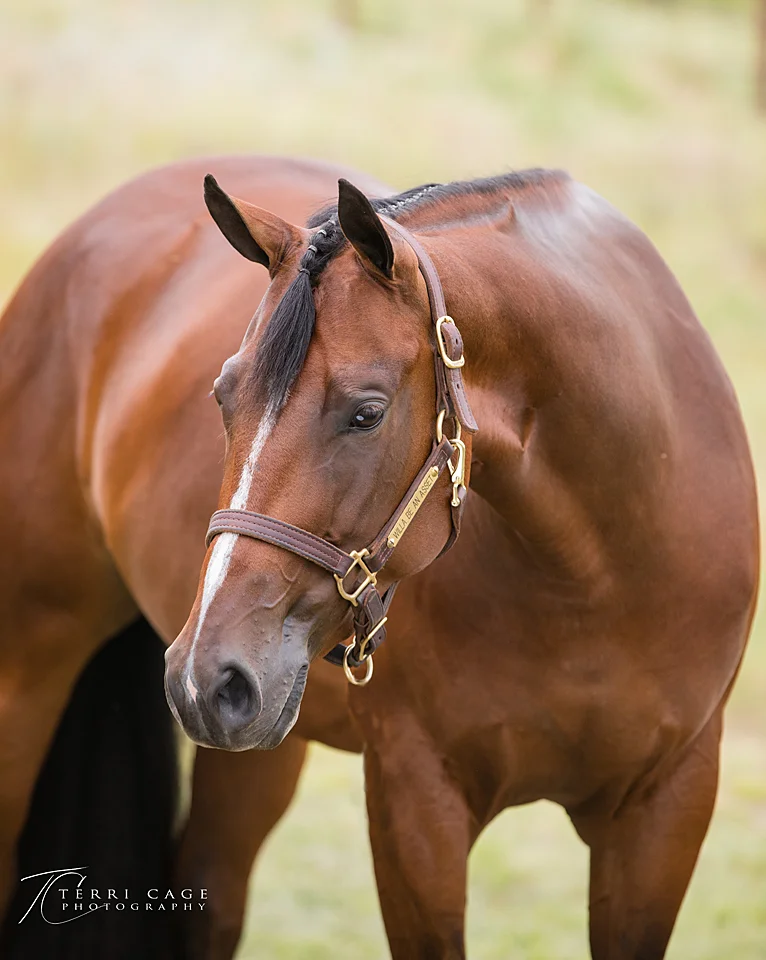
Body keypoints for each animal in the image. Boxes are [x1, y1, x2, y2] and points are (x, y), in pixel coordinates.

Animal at [164, 164, 759, 959]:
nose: (206, 679)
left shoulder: (669, 804)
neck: (595, 576)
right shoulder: (415, 800)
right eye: (224, 397)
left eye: (367, 412)